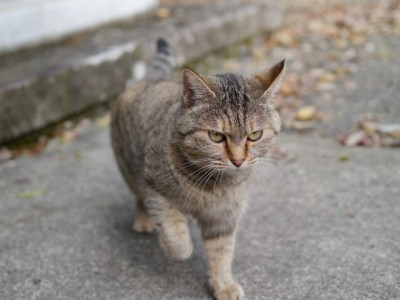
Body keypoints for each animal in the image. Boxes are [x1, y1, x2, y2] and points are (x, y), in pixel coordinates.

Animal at [110, 38, 284, 298]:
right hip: (129, 167)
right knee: (138, 195)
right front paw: (179, 246)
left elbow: (222, 252)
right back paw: (144, 220)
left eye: (255, 135)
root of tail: (148, 79)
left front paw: (223, 284)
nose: (238, 160)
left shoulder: (224, 216)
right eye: (216, 136)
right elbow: (175, 235)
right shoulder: (154, 187)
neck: (213, 185)